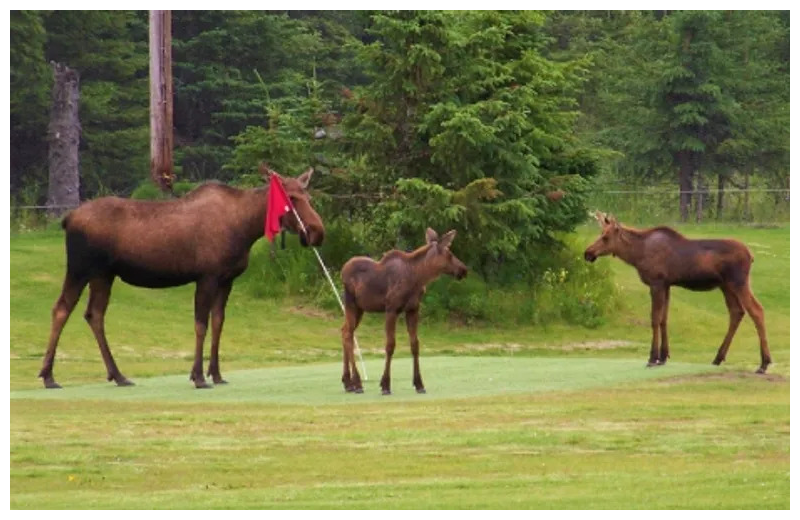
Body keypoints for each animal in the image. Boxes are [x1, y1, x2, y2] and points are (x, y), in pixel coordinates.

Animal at [40, 165, 324, 388]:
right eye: (291, 198)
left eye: (307, 195)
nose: (317, 231)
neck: (246, 228)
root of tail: (68, 218)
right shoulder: (207, 276)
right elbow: (201, 325)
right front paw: (198, 377)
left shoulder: (227, 279)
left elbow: (218, 322)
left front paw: (216, 374)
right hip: (80, 268)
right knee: (61, 308)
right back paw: (48, 376)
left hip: (103, 274)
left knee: (94, 314)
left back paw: (118, 375)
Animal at [340, 229, 468, 394]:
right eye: (449, 254)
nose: (463, 269)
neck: (418, 278)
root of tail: (342, 271)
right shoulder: (391, 309)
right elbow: (390, 345)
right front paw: (385, 384)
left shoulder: (413, 309)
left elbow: (415, 345)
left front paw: (419, 384)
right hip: (351, 303)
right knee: (348, 334)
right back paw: (357, 382)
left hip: (360, 308)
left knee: (344, 331)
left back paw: (348, 382)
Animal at [584, 211, 772, 374]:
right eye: (600, 233)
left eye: (605, 237)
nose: (587, 253)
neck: (636, 255)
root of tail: (751, 256)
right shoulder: (667, 285)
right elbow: (664, 319)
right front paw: (663, 357)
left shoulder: (656, 283)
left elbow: (654, 319)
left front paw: (652, 358)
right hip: (726, 286)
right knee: (737, 312)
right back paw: (718, 357)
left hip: (739, 282)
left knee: (757, 310)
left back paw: (764, 363)